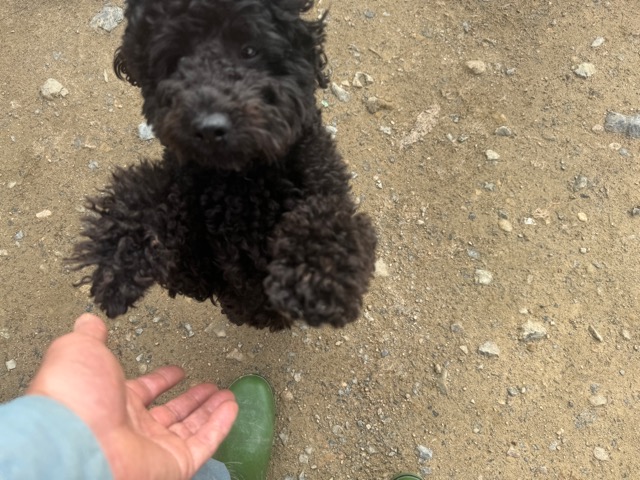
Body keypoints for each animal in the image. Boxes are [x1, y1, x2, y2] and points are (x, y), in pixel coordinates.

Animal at [70, 0, 377, 330]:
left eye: (250, 50)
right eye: (176, 59)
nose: (209, 127)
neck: (241, 182)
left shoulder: (322, 179)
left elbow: (329, 219)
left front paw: (317, 277)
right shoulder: (191, 223)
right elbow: (143, 199)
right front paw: (117, 261)